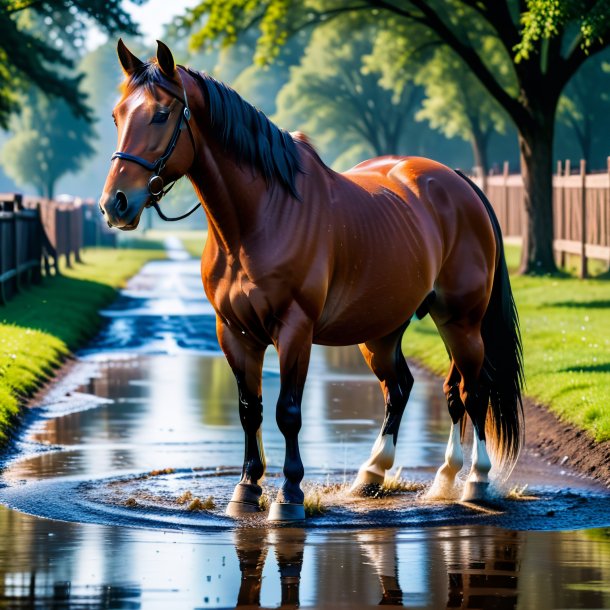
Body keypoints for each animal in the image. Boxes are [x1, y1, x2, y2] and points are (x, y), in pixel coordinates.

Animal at [100, 40, 524, 520]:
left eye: (160, 114)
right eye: (117, 115)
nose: (115, 203)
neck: (258, 217)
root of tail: (458, 183)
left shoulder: (294, 329)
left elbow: (287, 411)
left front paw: (289, 495)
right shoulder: (234, 333)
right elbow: (249, 410)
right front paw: (247, 489)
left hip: (460, 320)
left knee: (473, 391)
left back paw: (474, 479)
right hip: (382, 329)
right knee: (407, 389)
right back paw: (389, 475)